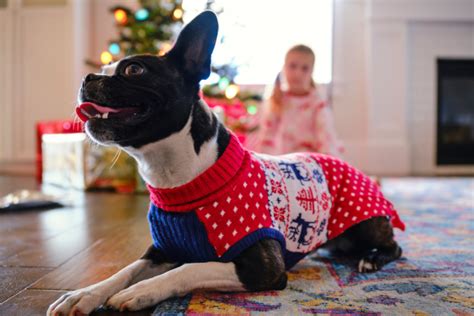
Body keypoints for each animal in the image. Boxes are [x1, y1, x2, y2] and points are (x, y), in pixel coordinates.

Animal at [47, 11, 404, 314]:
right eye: (106, 67)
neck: (178, 177)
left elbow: (190, 267)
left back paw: (372, 259)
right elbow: (125, 270)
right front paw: (84, 294)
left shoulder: (263, 267)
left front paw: (141, 291)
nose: (87, 77)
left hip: (366, 225)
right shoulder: (160, 251)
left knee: (394, 247)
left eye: (134, 70)